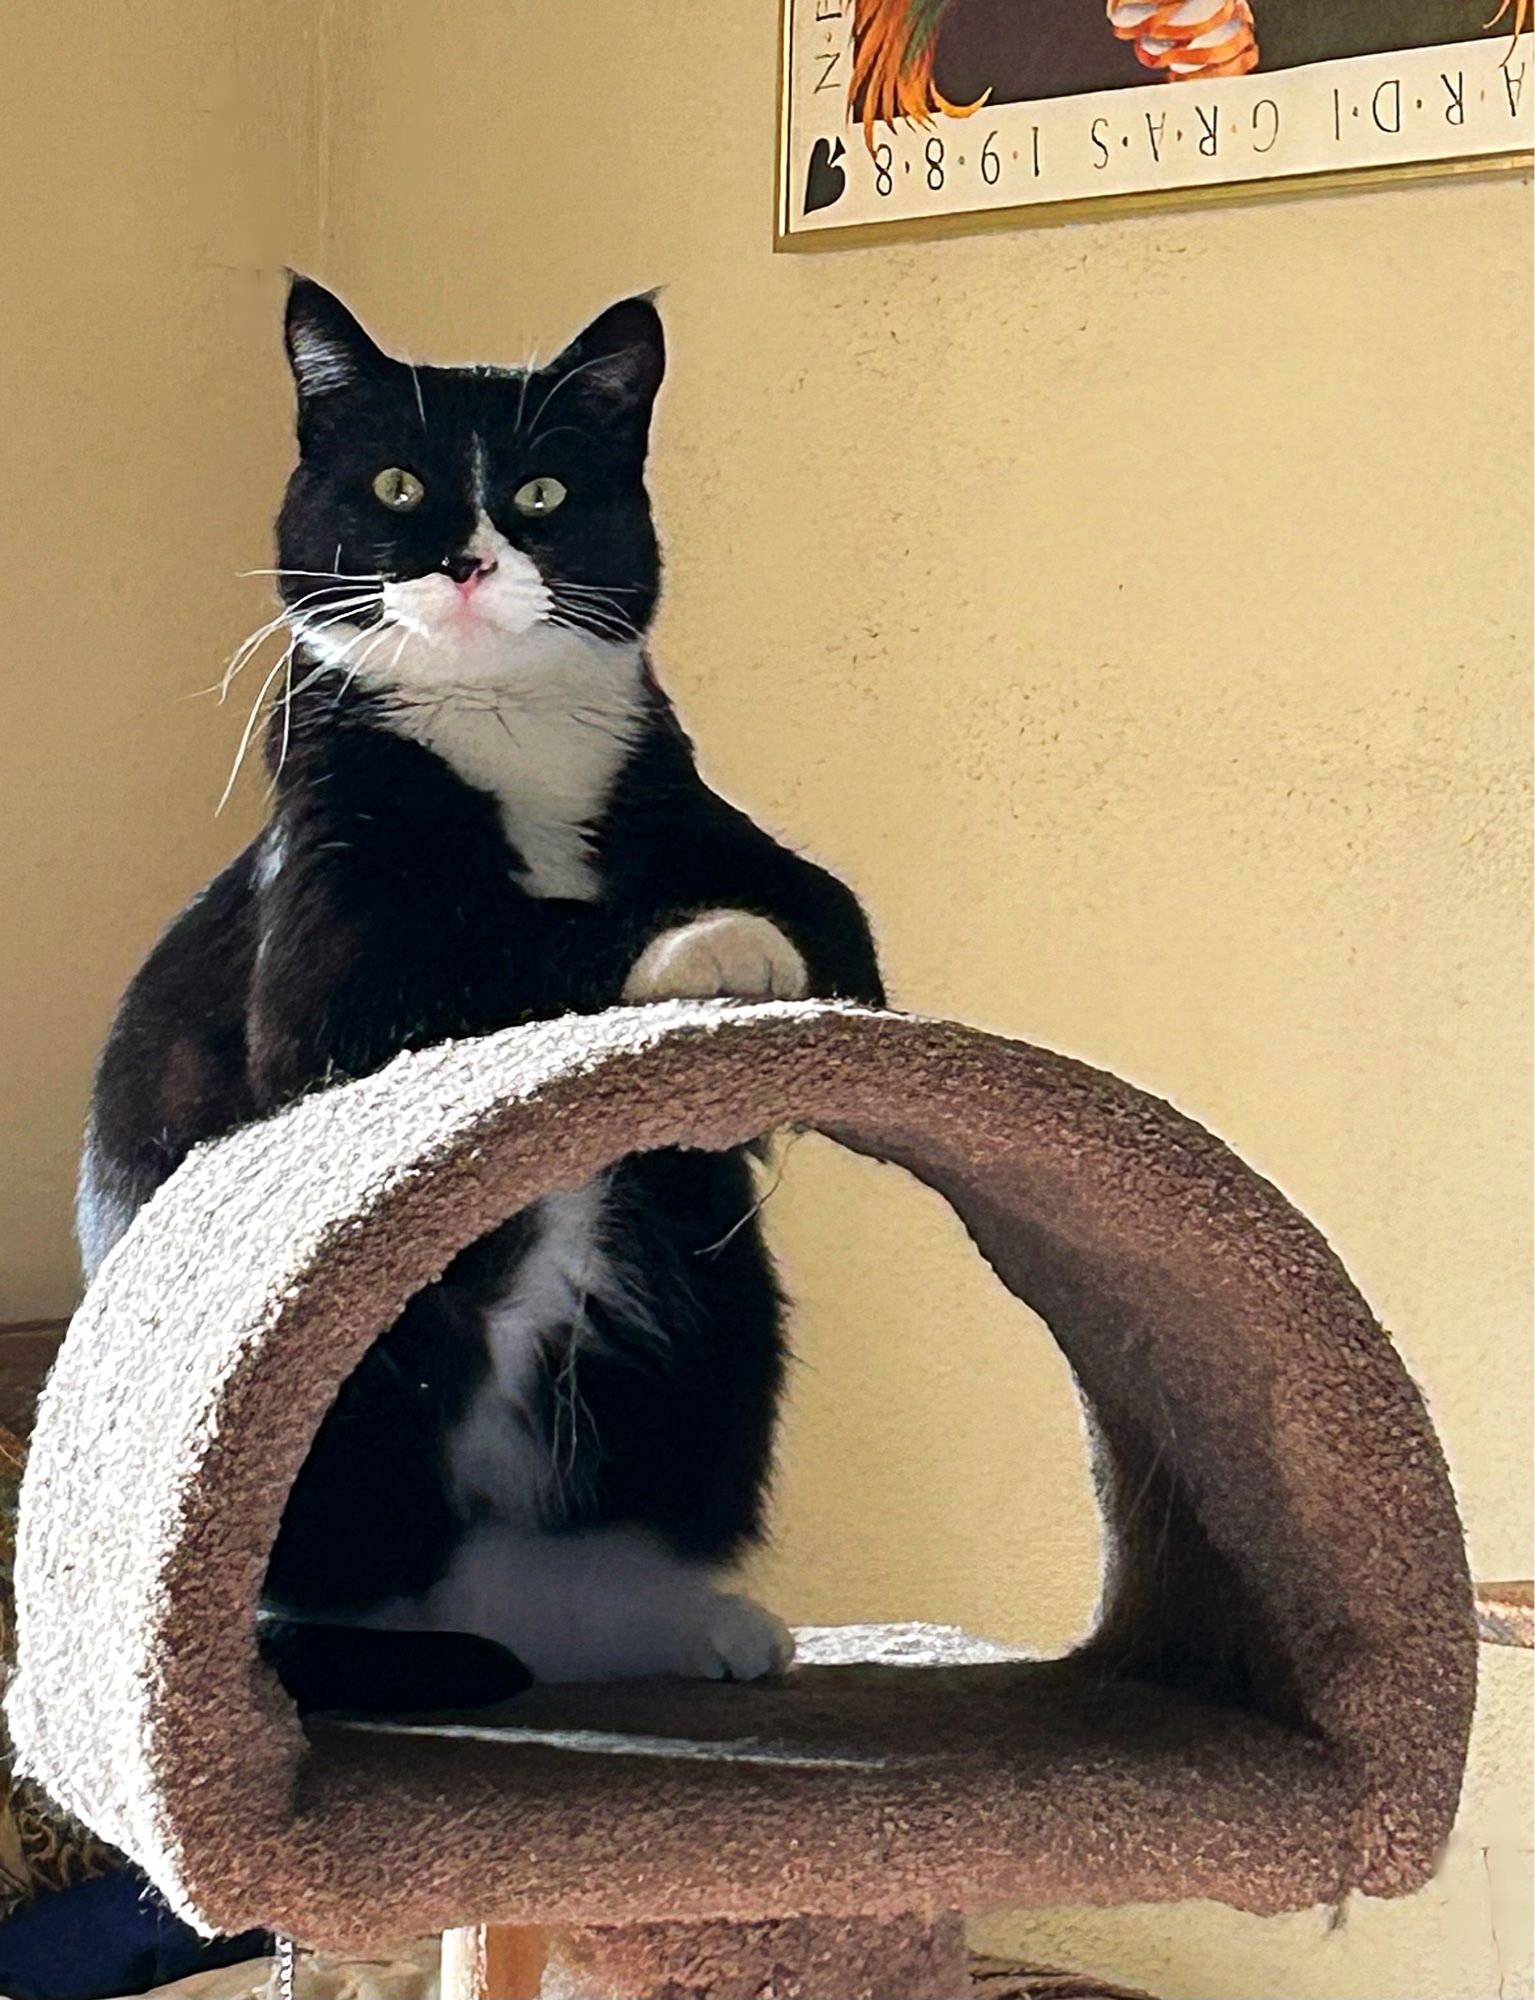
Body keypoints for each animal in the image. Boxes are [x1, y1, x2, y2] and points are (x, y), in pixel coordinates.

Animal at [77, 278, 879, 1720]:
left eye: (543, 493)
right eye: (396, 482)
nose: (462, 563)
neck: (507, 737)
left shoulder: (683, 801)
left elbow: (834, 902)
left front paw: (815, 962)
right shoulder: (332, 957)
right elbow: (500, 938)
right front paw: (711, 944)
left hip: (704, 1320)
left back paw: (675, 1626)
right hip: (345, 1387)